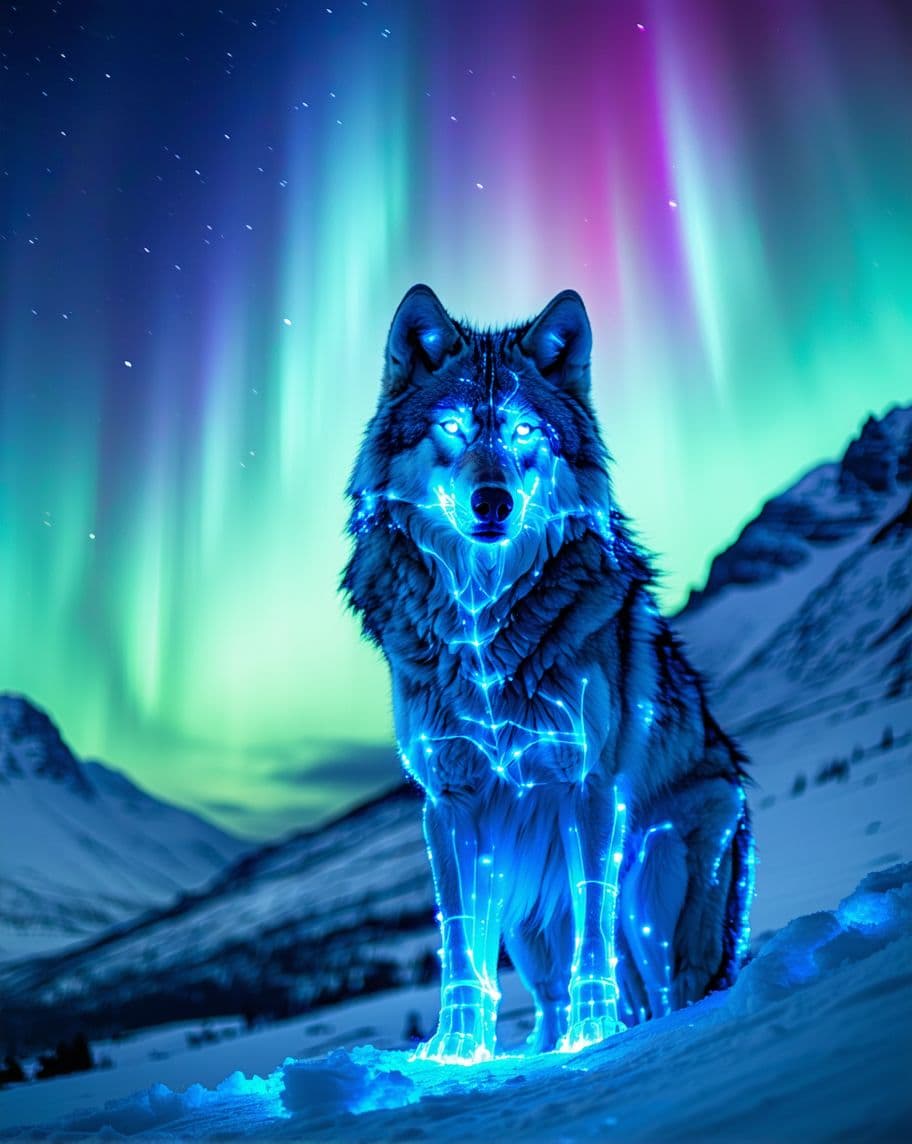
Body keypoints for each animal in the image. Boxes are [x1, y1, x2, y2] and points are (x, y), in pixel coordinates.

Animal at [343, 285, 754, 1062]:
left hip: (657, 878)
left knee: (668, 989)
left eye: (525, 432)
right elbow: (458, 947)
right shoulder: (449, 802)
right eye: (451, 426)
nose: (493, 502)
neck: (481, 627)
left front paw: (598, 1038)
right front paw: (455, 1048)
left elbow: (594, 935)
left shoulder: (586, 786)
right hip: (528, 919)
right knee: (549, 994)